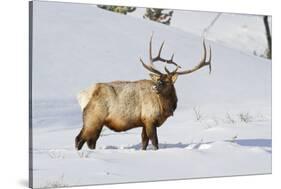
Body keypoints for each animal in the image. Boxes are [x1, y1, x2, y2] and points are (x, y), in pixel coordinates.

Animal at [74, 35, 210, 151]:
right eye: (158, 79)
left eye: (167, 81)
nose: (155, 87)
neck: (165, 107)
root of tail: (82, 96)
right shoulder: (150, 119)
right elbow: (155, 142)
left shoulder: (144, 122)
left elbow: (144, 142)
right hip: (94, 117)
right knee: (80, 139)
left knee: (89, 141)